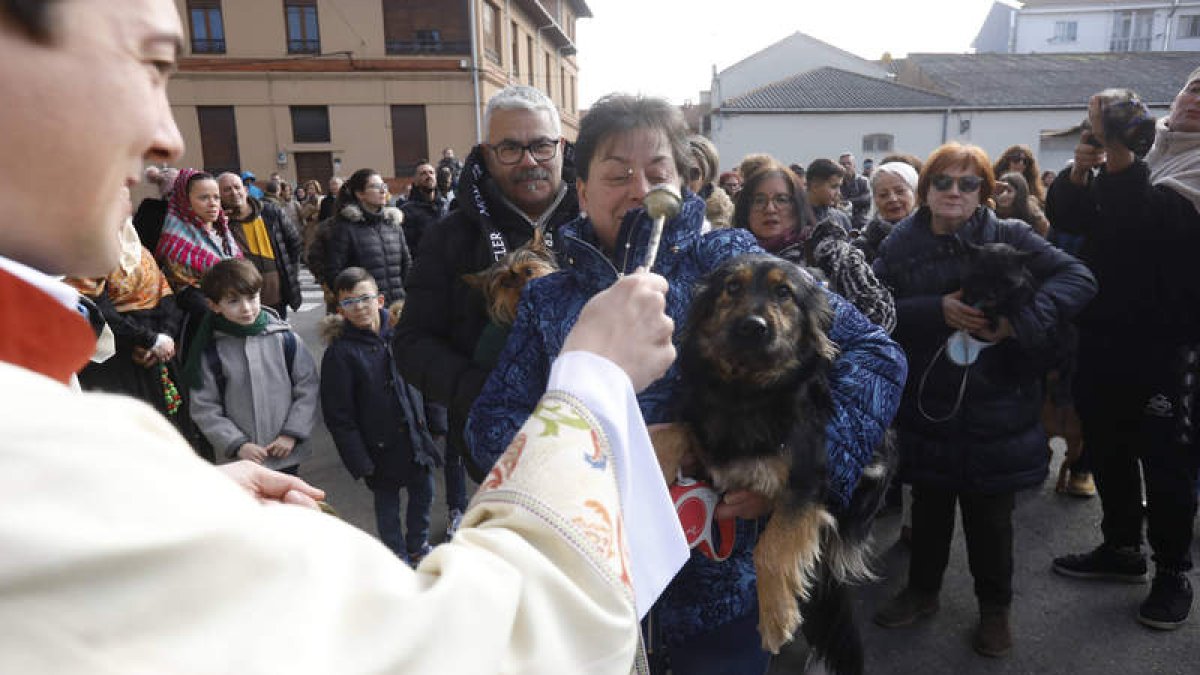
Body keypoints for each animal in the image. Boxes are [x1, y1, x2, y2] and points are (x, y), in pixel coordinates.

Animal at [657, 252, 892, 672]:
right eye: (732, 287)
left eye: (784, 292)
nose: (753, 326)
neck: (745, 393)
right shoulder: (704, 439)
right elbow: (672, 431)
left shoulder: (808, 484)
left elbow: (770, 547)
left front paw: (776, 617)